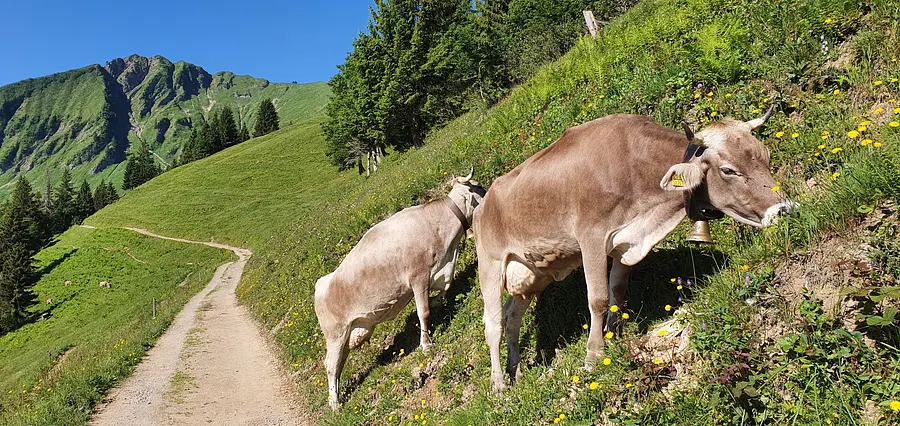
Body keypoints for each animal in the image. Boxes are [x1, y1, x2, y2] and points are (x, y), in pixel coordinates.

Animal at [314, 169, 486, 411]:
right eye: (478, 186)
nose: (491, 190)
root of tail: (322, 282)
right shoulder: (417, 277)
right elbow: (423, 312)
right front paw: (426, 344)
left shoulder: (440, 271)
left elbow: (446, 287)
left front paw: (437, 300)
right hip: (335, 334)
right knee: (330, 365)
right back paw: (335, 404)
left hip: (349, 334)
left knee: (339, 365)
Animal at [473, 108, 794, 392]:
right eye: (729, 170)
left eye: (766, 156)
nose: (785, 210)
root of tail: (484, 201)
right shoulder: (591, 236)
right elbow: (599, 299)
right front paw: (594, 356)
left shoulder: (626, 242)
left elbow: (618, 291)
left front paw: (613, 336)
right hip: (490, 264)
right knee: (494, 324)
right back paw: (499, 385)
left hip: (533, 274)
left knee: (512, 318)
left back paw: (516, 372)